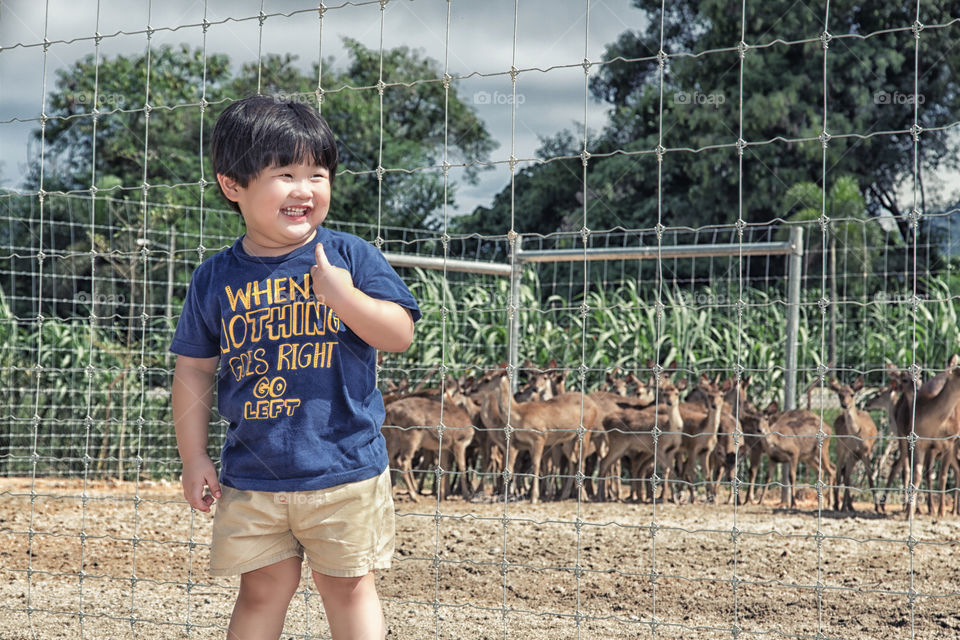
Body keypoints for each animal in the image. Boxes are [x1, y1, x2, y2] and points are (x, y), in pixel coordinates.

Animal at [828, 378, 880, 512]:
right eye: (839, 394)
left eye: (852, 394)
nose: (844, 405)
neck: (858, 434)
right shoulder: (850, 451)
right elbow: (846, 477)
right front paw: (842, 506)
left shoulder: (866, 452)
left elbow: (870, 478)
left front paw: (877, 508)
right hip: (840, 447)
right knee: (839, 472)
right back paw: (838, 505)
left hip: (855, 456)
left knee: (844, 472)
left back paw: (849, 506)